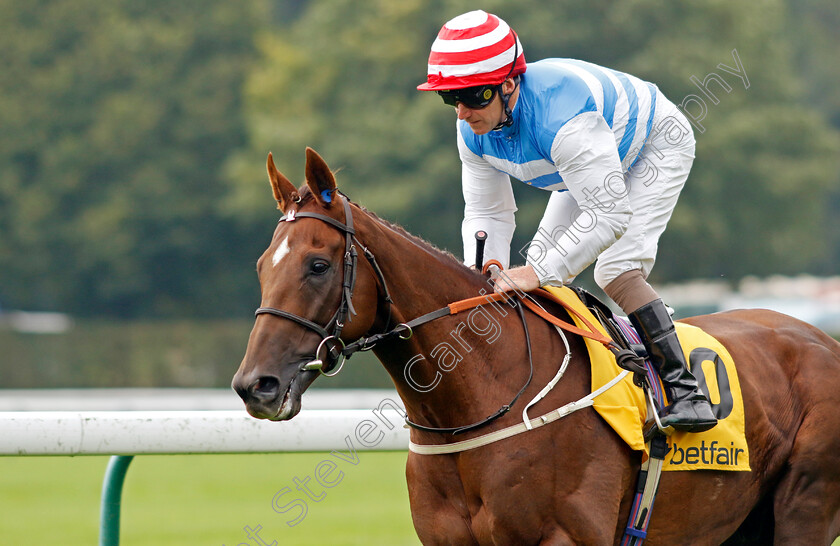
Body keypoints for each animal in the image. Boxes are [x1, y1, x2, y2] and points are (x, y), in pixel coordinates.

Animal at [233, 147, 840, 540]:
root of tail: (823, 341)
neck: (477, 401)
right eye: (261, 266)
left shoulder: (564, 536)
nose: (254, 386)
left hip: (805, 505)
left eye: (317, 265)